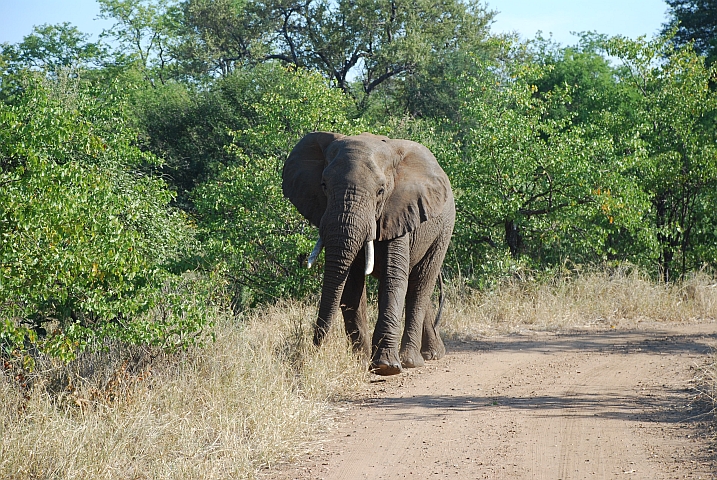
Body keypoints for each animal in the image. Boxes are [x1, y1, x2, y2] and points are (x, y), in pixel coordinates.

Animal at [282, 131, 455, 376]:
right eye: (323, 185)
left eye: (381, 191)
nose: (312, 353)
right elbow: (350, 282)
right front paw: (362, 363)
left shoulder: (399, 210)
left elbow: (394, 277)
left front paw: (386, 367)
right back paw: (430, 354)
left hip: (443, 229)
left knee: (420, 284)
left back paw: (413, 360)